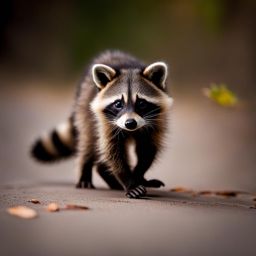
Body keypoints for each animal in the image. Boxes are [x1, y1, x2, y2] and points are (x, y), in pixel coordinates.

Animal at [31, 49, 173, 198]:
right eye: (118, 104)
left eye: (141, 103)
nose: (130, 123)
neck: (129, 68)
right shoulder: (106, 122)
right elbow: (112, 152)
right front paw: (129, 181)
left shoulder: (158, 120)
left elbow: (147, 150)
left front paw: (138, 175)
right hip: (85, 110)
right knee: (88, 141)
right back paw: (86, 171)